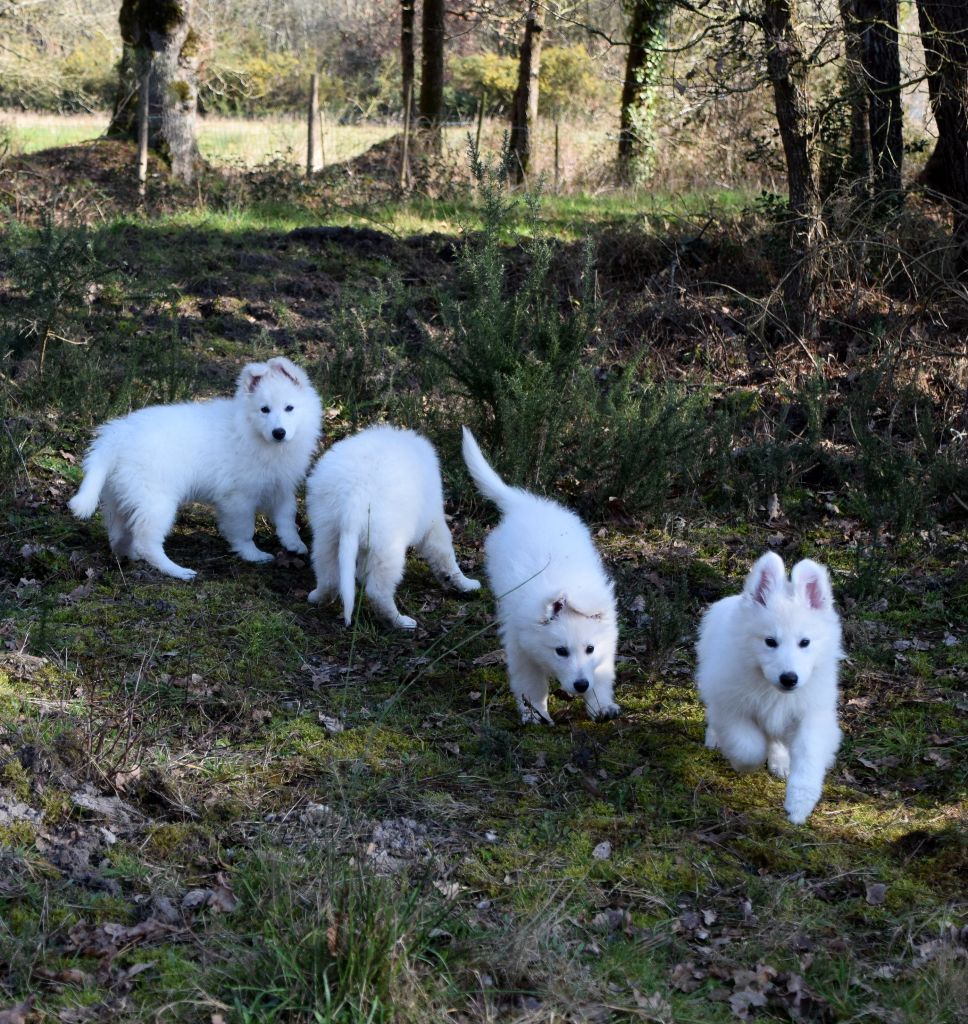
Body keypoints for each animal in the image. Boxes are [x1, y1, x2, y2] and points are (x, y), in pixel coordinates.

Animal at [69, 356, 325, 581]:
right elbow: (244, 530)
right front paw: (253, 555)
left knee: (119, 532)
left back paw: (127, 554)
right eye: (264, 410)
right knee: (146, 541)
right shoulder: (238, 497)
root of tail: (115, 436)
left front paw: (295, 544)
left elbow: (286, 516)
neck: (253, 433)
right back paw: (176, 570)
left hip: (121, 496)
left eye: (290, 408)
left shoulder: (279, 484)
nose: (279, 432)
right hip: (155, 500)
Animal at [305, 421, 479, 626]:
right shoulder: (432, 523)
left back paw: (318, 597)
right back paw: (400, 621)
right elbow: (445, 556)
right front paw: (466, 583)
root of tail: (355, 494)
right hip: (388, 549)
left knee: (329, 576)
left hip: (328, 533)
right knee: (378, 592)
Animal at [460, 428, 618, 724]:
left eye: (590, 649)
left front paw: (601, 706)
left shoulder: (607, 640)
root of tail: (526, 505)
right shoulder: (521, 648)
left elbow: (601, 675)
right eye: (561, 651)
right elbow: (531, 684)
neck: (565, 586)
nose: (581, 685)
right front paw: (536, 713)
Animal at [696, 552, 839, 823]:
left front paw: (799, 806)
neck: (772, 689)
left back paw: (780, 761)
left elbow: (808, 754)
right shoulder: (731, 707)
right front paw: (744, 765)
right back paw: (714, 738)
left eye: (805, 642)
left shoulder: (811, 713)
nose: (789, 678)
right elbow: (748, 747)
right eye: (770, 642)